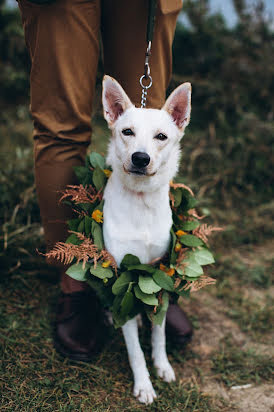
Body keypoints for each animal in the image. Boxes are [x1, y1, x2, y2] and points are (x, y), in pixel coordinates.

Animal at [102, 75, 191, 404]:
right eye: (127, 131)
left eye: (161, 137)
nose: (141, 158)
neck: (140, 201)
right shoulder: (122, 276)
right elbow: (135, 350)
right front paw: (144, 384)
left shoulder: (158, 272)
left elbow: (159, 334)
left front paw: (162, 364)